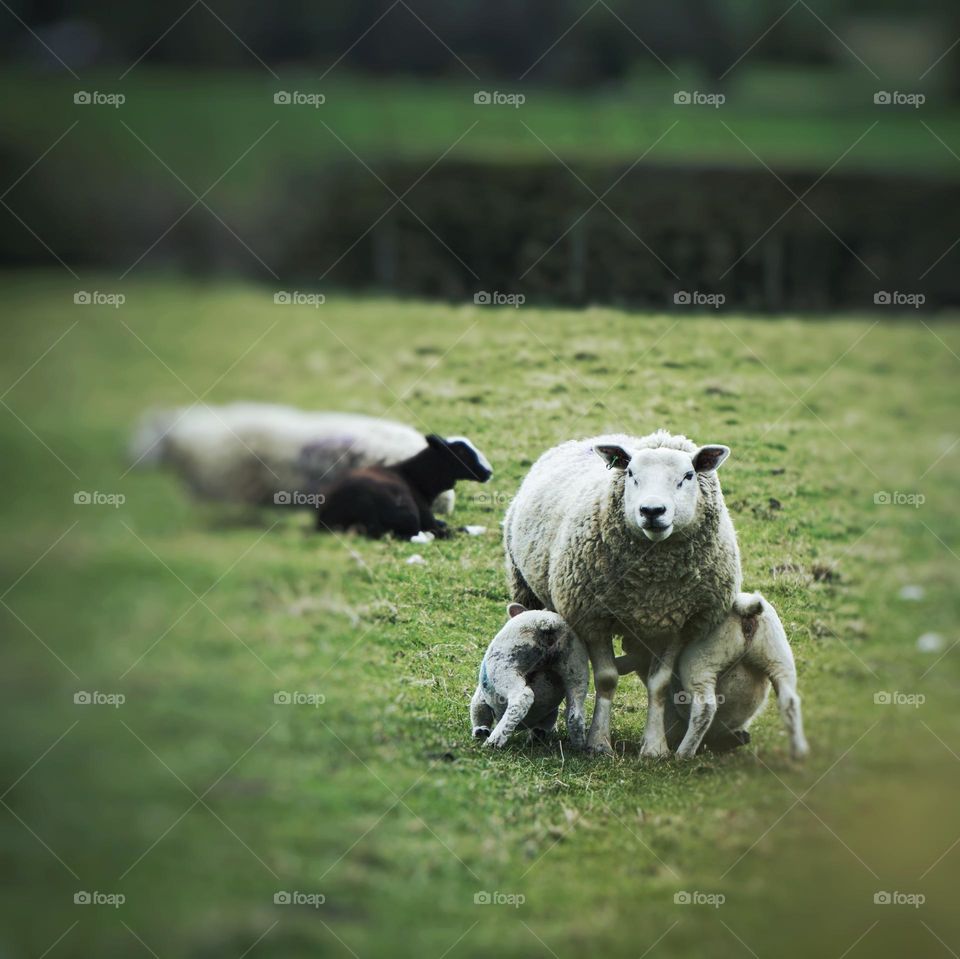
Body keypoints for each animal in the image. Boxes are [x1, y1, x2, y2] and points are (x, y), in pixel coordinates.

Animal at [316, 436, 496, 540]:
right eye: (461, 452)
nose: (489, 472)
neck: (415, 477)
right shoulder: (426, 518)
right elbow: (450, 530)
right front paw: (483, 529)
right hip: (408, 513)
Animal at [468, 608, 588, 752]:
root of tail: (547, 622)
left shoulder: (481, 697)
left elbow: (478, 711)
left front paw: (480, 731)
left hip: (505, 664)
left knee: (522, 697)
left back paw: (494, 741)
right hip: (575, 664)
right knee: (575, 712)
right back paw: (578, 747)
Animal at [502, 434, 744, 756]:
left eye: (688, 475)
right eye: (631, 474)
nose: (652, 511)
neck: (652, 583)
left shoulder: (679, 625)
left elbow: (659, 683)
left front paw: (654, 747)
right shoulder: (593, 618)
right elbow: (606, 679)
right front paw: (598, 743)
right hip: (526, 589)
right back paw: (538, 731)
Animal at [616, 592, 808, 756]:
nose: (625, 643)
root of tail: (744, 609)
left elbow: (632, 661)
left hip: (702, 662)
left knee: (706, 707)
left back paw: (684, 753)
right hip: (778, 657)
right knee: (790, 702)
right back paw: (798, 750)